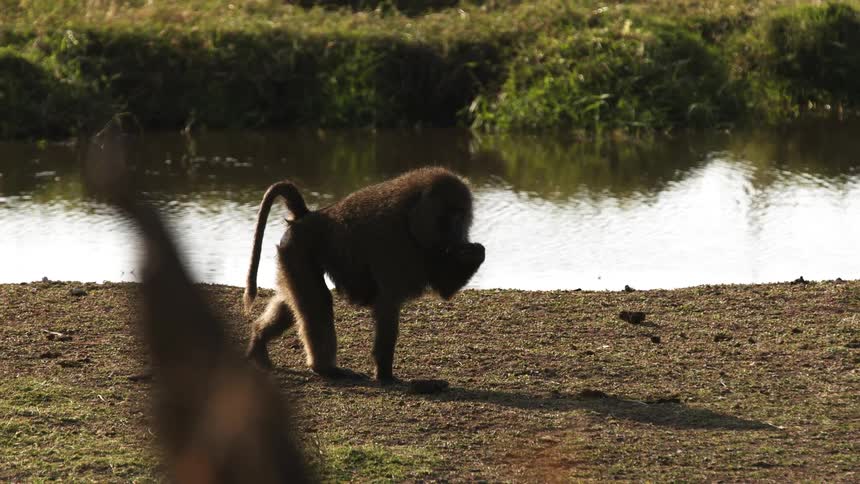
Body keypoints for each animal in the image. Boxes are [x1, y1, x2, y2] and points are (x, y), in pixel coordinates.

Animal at [244, 167, 485, 383]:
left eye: (462, 216)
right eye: (450, 216)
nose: (458, 237)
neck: (411, 216)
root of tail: (307, 216)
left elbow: (444, 285)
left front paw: (475, 252)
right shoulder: (394, 244)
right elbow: (388, 305)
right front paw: (385, 375)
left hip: (291, 254)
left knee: (296, 302)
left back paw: (259, 340)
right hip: (297, 249)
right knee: (318, 302)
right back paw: (326, 369)